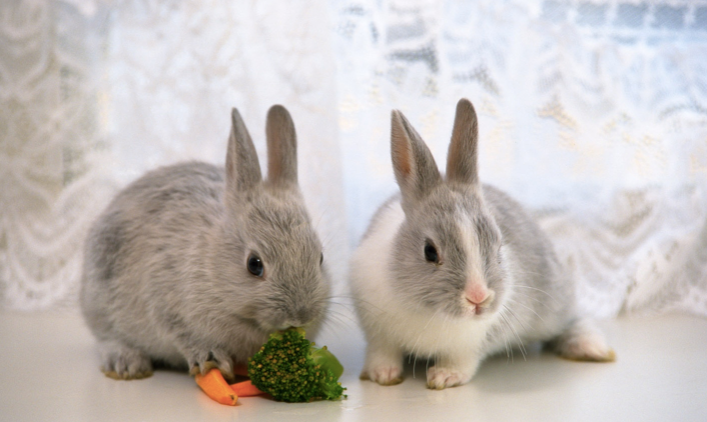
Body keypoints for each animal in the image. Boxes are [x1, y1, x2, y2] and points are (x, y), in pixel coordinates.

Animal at [81, 104, 332, 380]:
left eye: (320, 258)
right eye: (254, 265)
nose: (300, 316)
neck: (212, 270)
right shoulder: (167, 305)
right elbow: (186, 336)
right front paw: (212, 361)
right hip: (100, 297)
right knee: (107, 337)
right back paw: (127, 364)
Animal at [352, 98, 616, 390]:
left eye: (499, 245)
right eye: (429, 251)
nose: (478, 298)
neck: (428, 311)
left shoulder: (469, 345)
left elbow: (461, 363)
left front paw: (444, 377)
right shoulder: (378, 333)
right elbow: (383, 353)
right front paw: (383, 375)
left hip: (554, 304)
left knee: (573, 320)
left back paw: (592, 348)